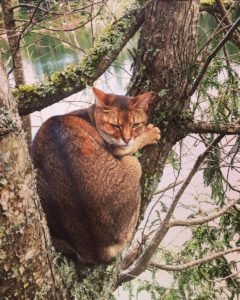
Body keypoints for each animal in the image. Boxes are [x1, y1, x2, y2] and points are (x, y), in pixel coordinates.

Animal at [31, 86, 159, 262]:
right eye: (115, 125)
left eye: (135, 124)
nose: (126, 138)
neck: (89, 115)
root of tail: (98, 249)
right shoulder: (117, 148)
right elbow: (131, 145)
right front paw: (150, 134)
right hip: (135, 166)